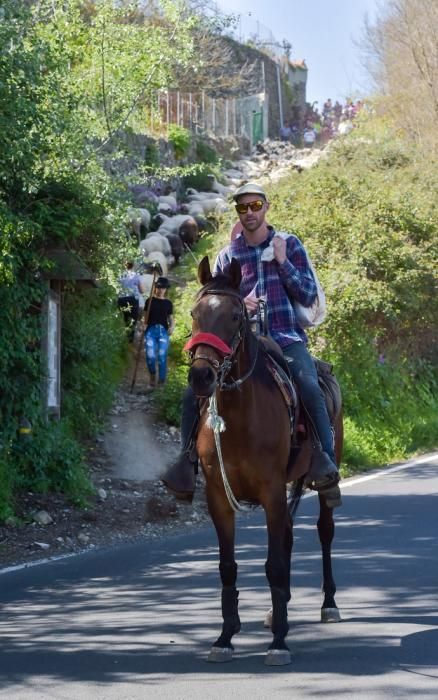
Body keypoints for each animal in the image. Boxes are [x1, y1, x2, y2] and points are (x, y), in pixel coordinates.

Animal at [185, 256, 342, 660]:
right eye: (194, 313)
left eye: (235, 316)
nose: (201, 376)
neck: (239, 417)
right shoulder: (218, 497)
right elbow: (228, 566)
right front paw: (225, 637)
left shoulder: (271, 492)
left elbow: (273, 565)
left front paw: (279, 644)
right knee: (287, 538)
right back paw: (277, 610)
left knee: (324, 531)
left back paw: (328, 605)